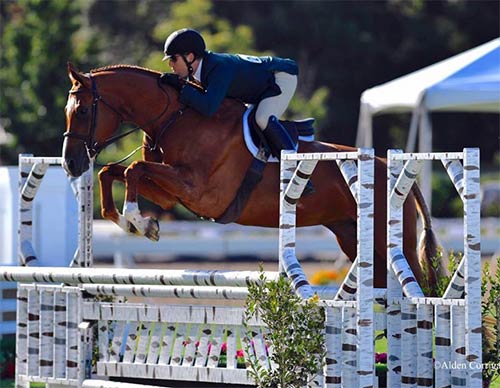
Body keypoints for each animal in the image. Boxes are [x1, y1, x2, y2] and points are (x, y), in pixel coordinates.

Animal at [61, 61, 438, 292]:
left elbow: (133, 170)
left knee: (420, 287)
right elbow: (113, 171)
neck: (176, 117)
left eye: (83, 110)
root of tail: (392, 168)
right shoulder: (174, 193)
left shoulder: (200, 192)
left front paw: (137, 220)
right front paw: (133, 223)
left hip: (393, 242)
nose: (71, 164)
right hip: (353, 237)